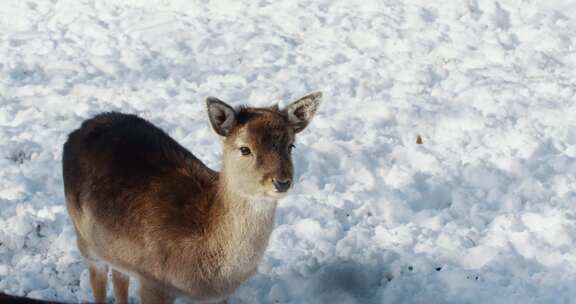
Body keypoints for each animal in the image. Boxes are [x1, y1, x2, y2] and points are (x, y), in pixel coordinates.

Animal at [63, 91, 324, 302]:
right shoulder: (153, 281)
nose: (282, 182)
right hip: (83, 238)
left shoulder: (218, 297)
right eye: (245, 149)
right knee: (98, 280)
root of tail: (82, 127)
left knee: (119, 277)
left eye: (291, 146)